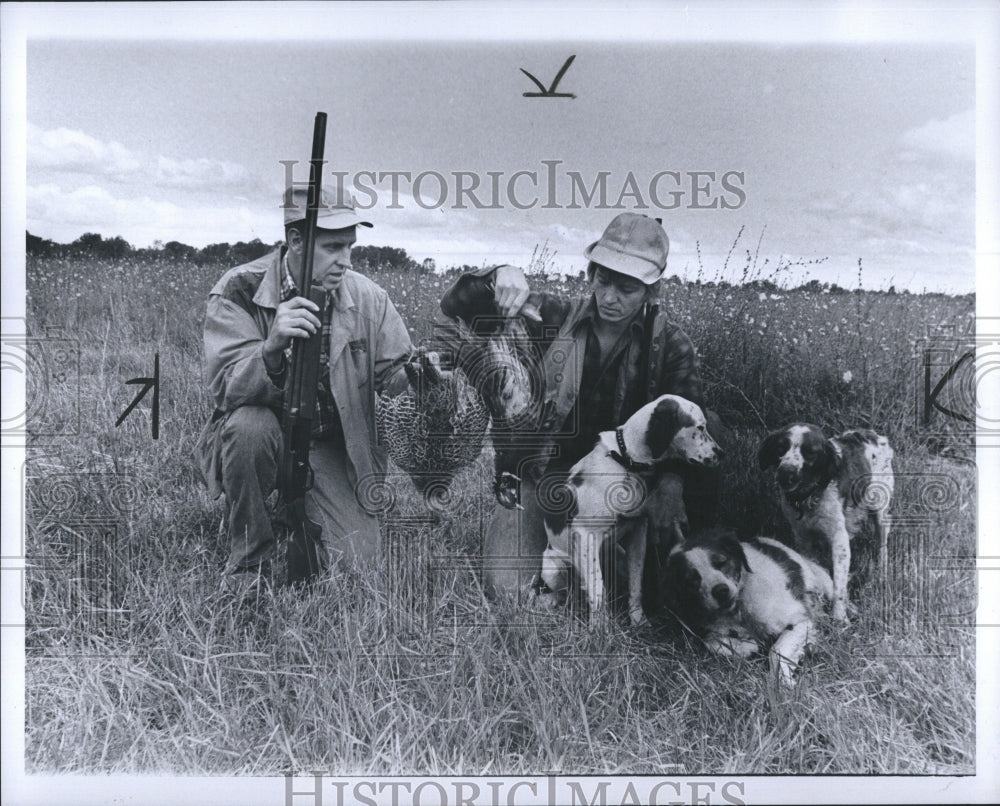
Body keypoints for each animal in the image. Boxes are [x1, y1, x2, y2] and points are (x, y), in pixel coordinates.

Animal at [540, 394, 720, 628]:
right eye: (700, 427)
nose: (721, 453)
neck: (627, 462)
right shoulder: (586, 534)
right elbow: (597, 588)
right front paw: (599, 628)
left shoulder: (638, 532)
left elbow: (636, 582)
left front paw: (638, 619)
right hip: (554, 568)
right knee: (567, 592)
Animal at [664, 532, 836, 688]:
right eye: (691, 579)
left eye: (721, 562)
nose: (721, 591)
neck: (739, 610)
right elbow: (711, 642)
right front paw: (749, 647)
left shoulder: (801, 620)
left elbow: (776, 650)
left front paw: (783, 680)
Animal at [760, 426, 896, 620]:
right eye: (780, 448)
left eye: (810, 452)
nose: (786, 473)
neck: (809, 498)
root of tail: (872, 434)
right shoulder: (803, 538)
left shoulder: (839, 539)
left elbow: (838, 583)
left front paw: (839, 617)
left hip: (880, 511)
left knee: (882, 546)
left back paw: (881, 574)